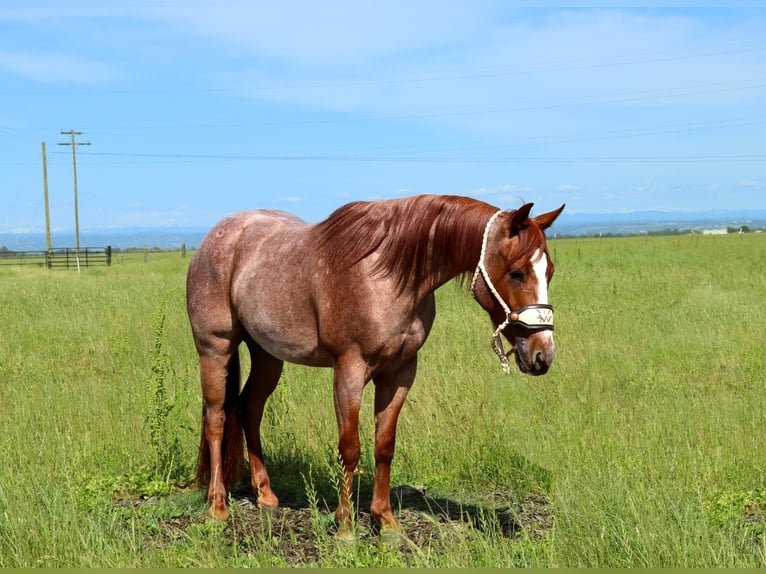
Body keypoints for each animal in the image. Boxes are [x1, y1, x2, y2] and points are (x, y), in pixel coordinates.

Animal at [186, 196, 564, 536]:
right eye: (517, 273)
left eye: (550, 272)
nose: (542, 355)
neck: (387, 277)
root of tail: (215, 237)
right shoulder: (349, 371)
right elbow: (350, 448)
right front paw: (345, 527)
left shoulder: (399, 374)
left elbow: (384, 446)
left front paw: (385, 520)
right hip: (215, 349)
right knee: (217, 417)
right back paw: (217, 506)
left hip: (267, 355)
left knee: (249, 409)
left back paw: (266, 494)